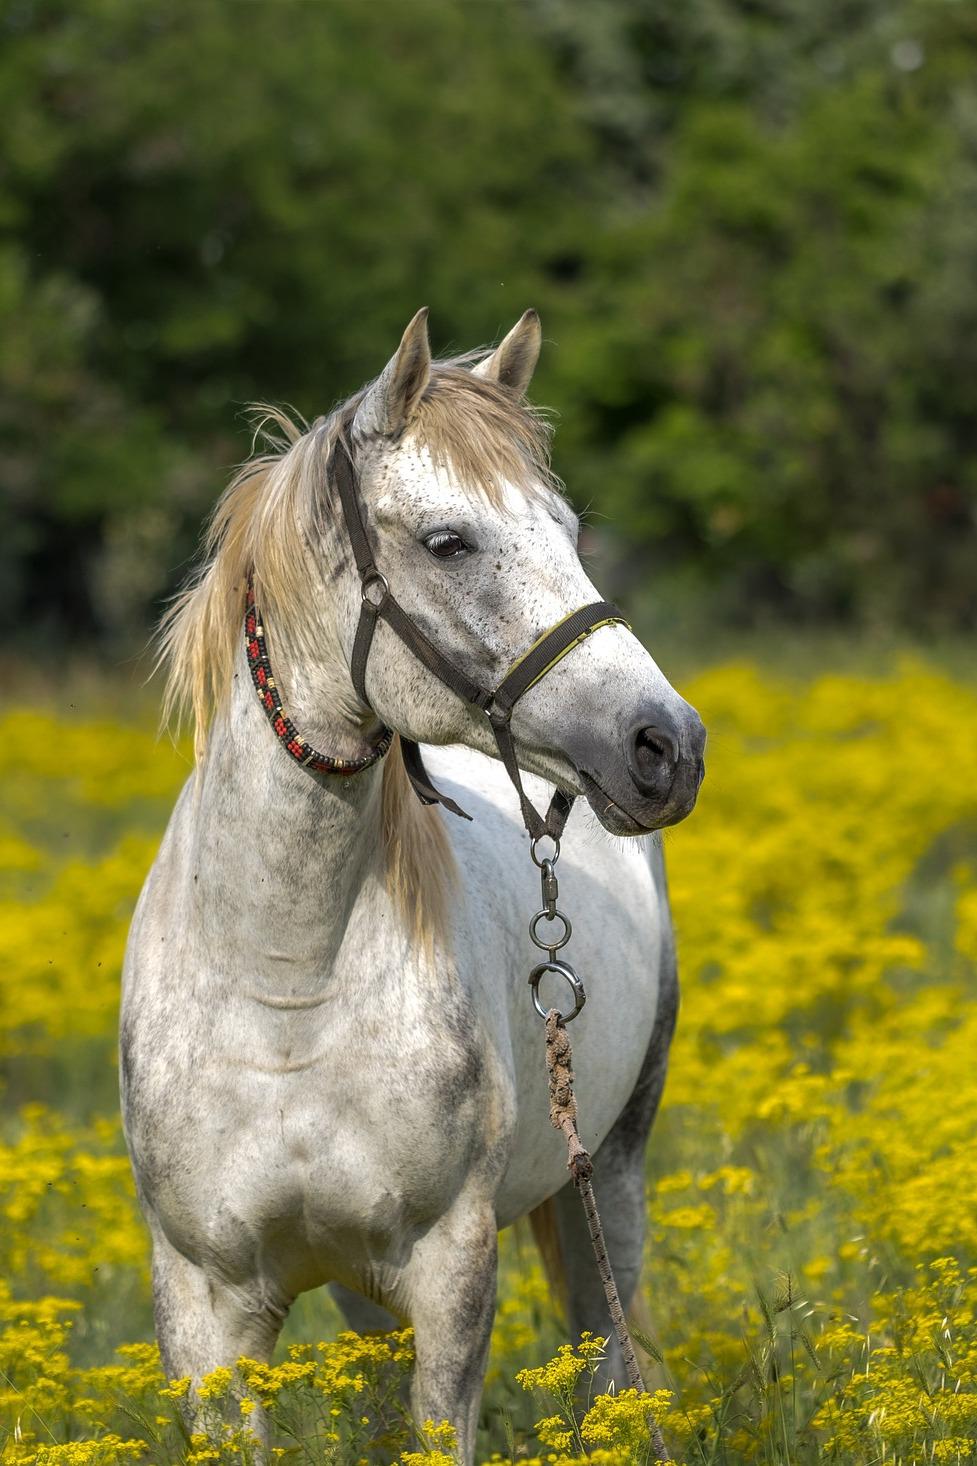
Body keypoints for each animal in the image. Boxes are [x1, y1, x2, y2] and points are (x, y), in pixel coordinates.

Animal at [121, 307, 706, 1461]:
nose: (666, 745)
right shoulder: (205, 1309)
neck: (283, 986)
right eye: (448, 542)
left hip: (610, 1172)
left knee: (608, 1352)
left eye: (568, 529)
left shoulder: (449, 1273)